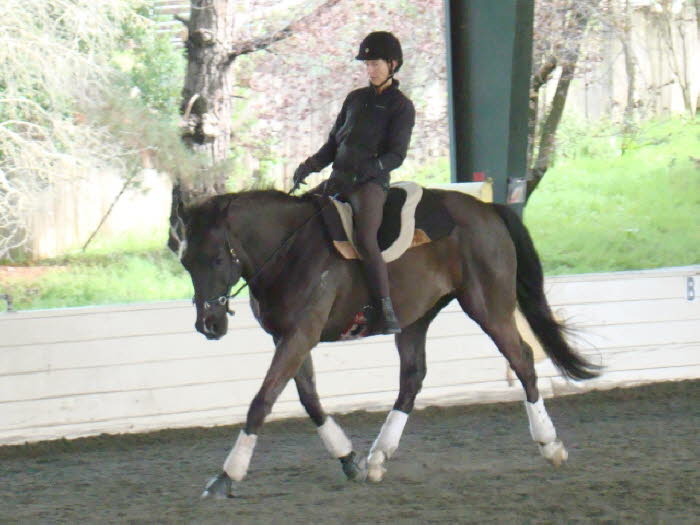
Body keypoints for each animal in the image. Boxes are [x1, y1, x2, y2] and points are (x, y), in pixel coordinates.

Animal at [167, 182, 600, 498]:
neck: (288, 249)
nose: (208, 324)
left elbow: (263, 400)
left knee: (523, 360)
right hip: (415, 320)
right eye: (186, 261)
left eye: (217, 259)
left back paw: (550, 445)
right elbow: (309, 399)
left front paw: (227, 475)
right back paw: (379, 456)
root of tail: (488, 209)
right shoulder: (288, 337)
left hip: (488, 307)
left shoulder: (300, 334)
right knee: (412, 378)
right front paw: (348, 458)